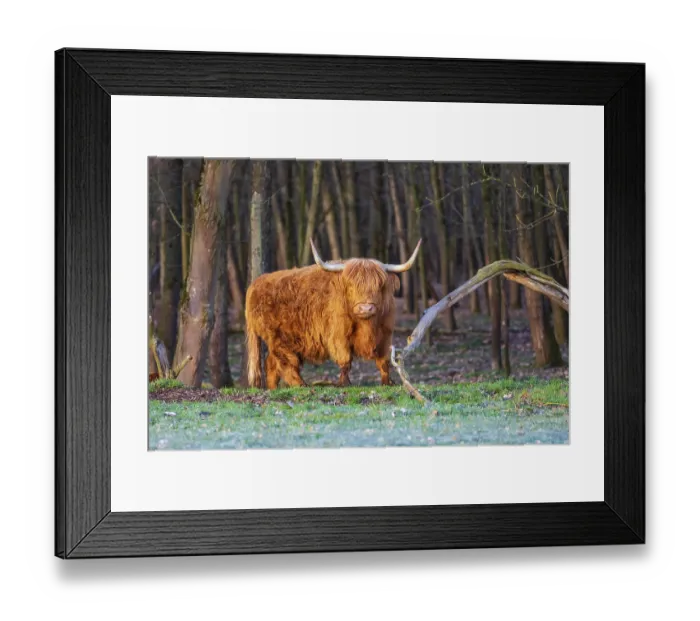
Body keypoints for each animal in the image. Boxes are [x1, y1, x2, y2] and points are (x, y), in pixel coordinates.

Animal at [245, 239, 422, 389]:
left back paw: (274, 388)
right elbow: (345, 360)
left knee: (271, 364)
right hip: (277, 338)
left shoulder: (385, 334)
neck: (367, 326)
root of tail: (256, 284)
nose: (365, 308)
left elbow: (384, 361)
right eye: (351, 286)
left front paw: (387, 382)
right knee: (285, 363)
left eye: (379, 285)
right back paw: (302, 385)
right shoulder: (339, 335)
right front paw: (344, 383)